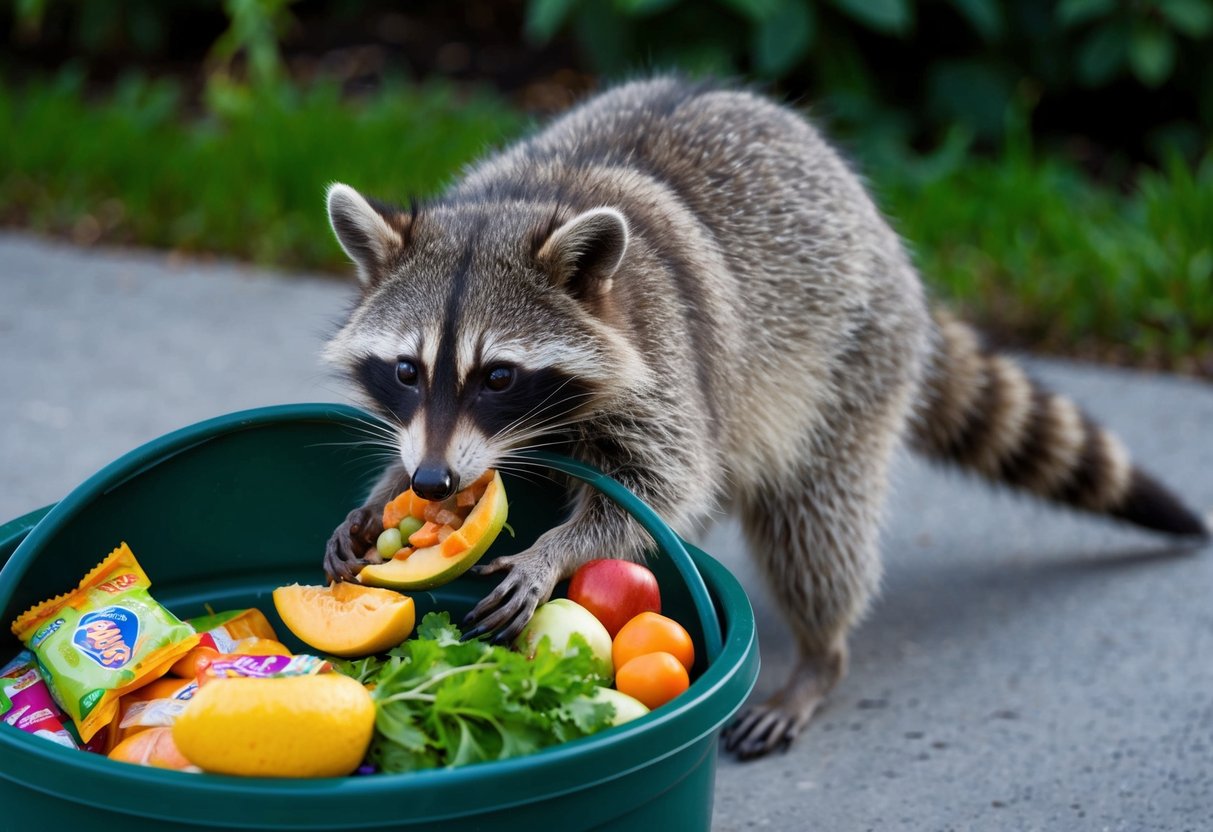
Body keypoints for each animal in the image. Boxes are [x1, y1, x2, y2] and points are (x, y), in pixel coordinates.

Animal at [320, 77, 1208, 760]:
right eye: (406, 371)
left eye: (498, 377)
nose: (436, 479)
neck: (531, 201)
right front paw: (384, 492)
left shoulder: (666, 359)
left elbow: (661, 485)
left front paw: (556, 549)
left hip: (853, 357)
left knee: (812, 527)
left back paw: (818, 657)